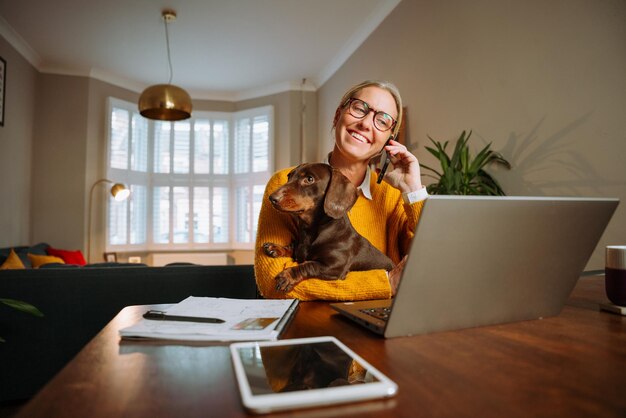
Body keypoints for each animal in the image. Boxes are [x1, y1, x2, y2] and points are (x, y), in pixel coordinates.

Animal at [262, 162, 390, 292]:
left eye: (309, 179)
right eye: (289, 176)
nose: (272, 198)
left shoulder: (334, 266)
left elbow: (309, 265)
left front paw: (288, 276)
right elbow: (293, 249)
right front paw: (276, 248)